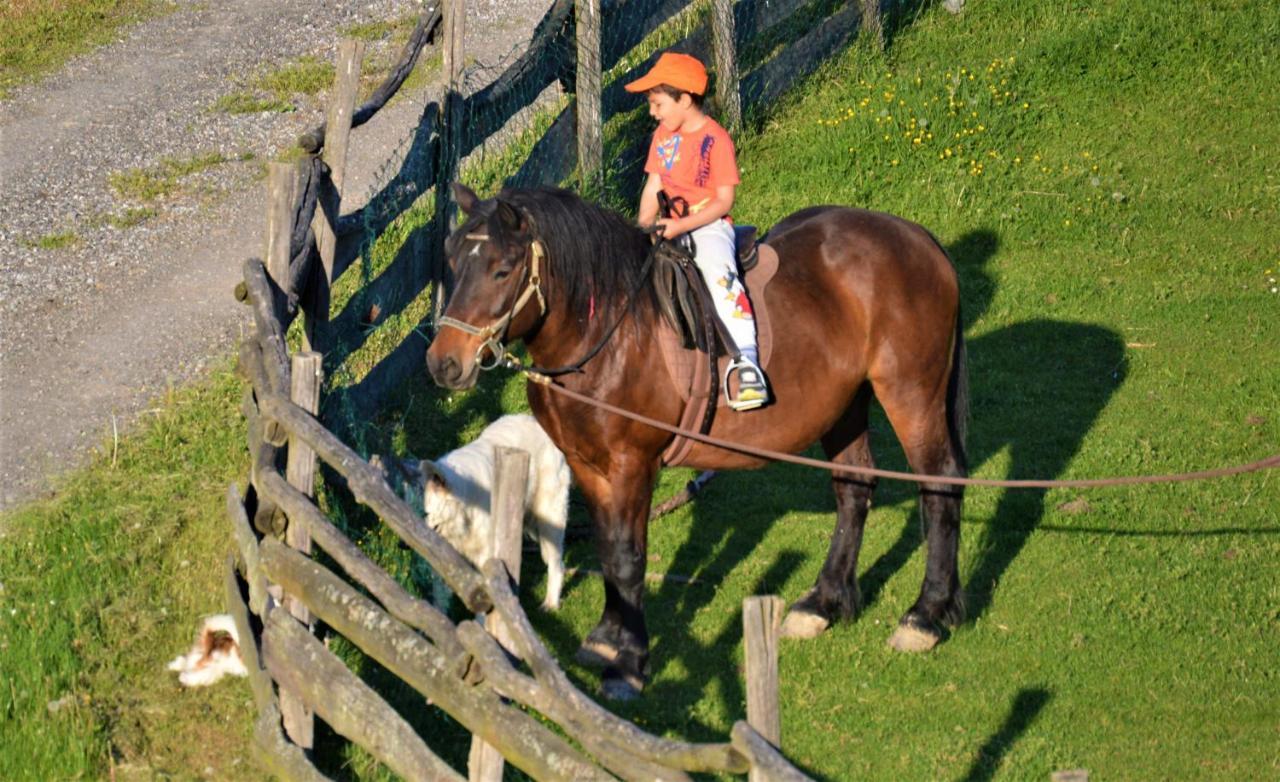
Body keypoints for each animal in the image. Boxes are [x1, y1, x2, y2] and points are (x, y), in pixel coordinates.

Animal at [424, 185, 962, 701]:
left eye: (502, 270)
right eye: (452, 261)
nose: (444, 363)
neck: (607, 335)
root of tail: (916, 237)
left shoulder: (631, 465)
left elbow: (628, 557)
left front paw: (630, 664)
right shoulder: (588, 465)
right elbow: (607, 551)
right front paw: (606, 639)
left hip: (911, 393)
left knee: (940, 487)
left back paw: (926, 615)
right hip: (845, 405)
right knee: (854, 487)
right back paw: (824, 603)